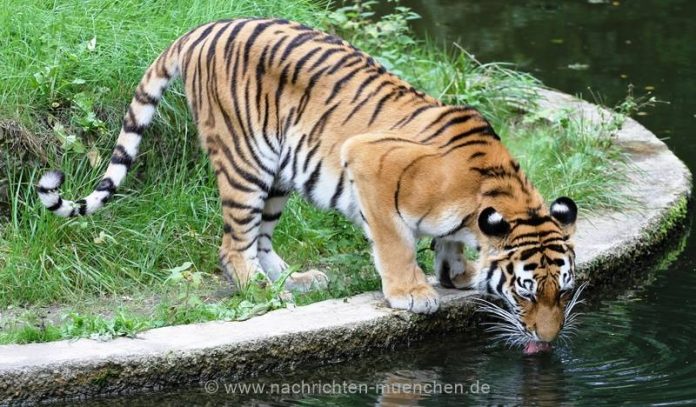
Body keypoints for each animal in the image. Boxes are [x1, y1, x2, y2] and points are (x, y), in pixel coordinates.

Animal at [38, 17, 580, 346]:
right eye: (526, 292)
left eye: (564, 292)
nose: (548, 340)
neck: (493, 196)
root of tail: (203, 27)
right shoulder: (370, 162)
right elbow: (395, 242)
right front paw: (412, 292)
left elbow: (445, 244)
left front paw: (456, 273)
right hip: (246, 161)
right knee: (233, 245)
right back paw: (264, 292)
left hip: (279, 172)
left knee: (260, 238)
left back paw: (293, 281)